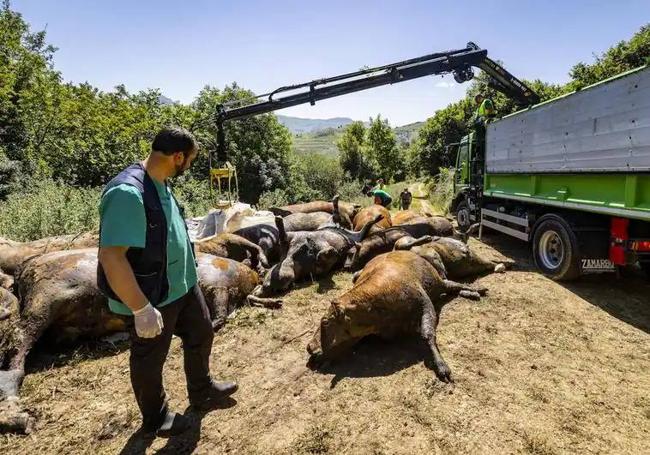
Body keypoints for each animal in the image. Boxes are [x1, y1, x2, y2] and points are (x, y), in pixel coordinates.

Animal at [306, 251, 484, 382]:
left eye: (325, 322)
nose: (309, 347)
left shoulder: (424, 302)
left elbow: (427, 334)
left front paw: (442, 367)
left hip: (438, 281)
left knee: (453, 284)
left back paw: (476, 290)